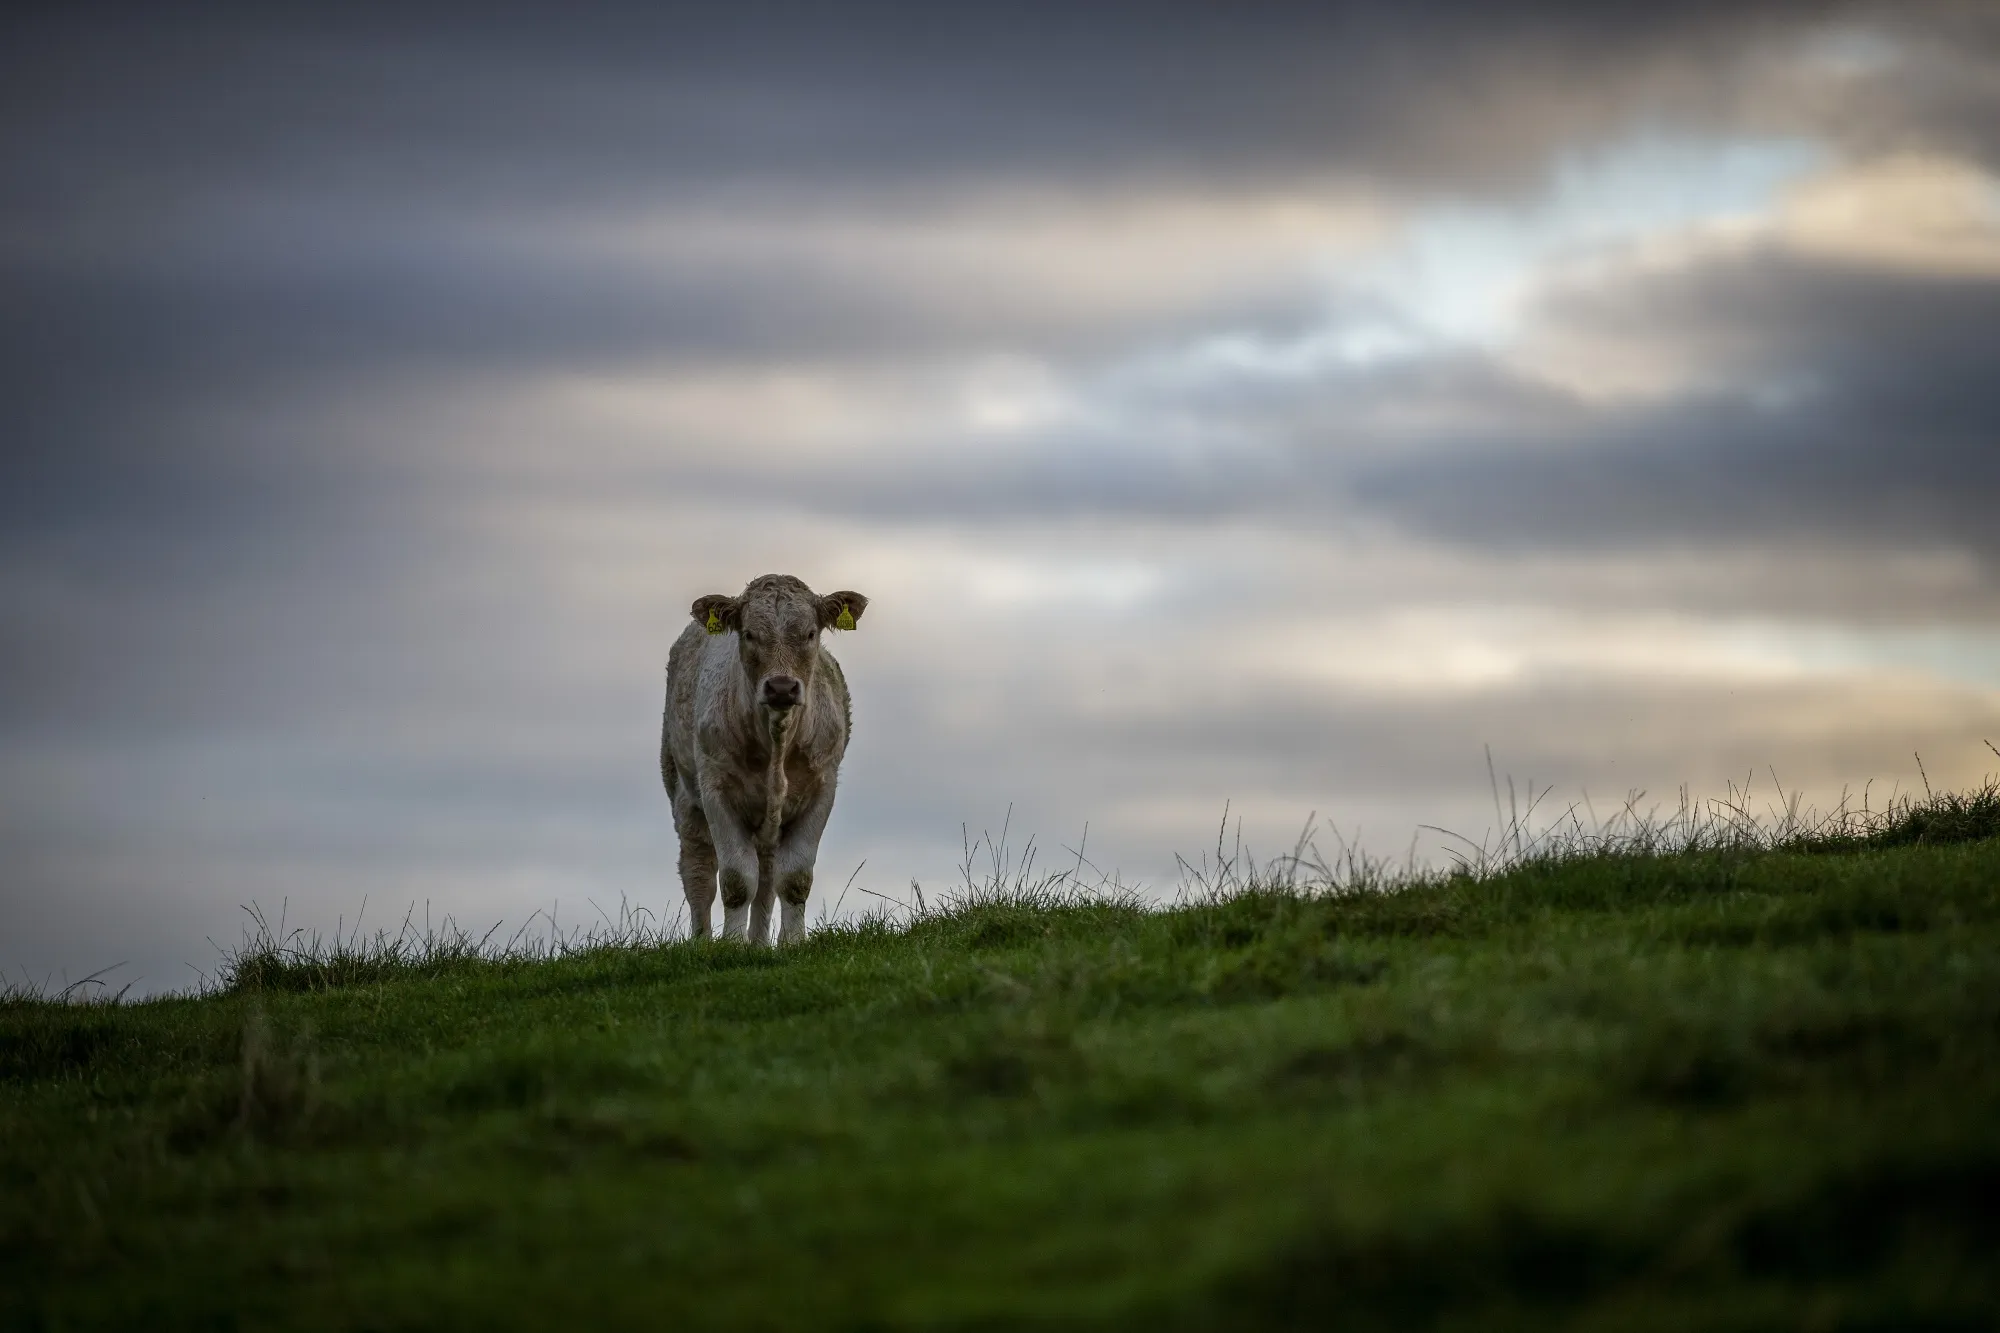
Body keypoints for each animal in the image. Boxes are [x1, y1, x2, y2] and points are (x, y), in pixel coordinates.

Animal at [660, 575, 868, 945]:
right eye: (749, 634)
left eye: (810, 633)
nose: (782, 687)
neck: (776, 741)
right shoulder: (716, 793)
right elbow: (736, 880)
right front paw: (731, 945)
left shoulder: (821, 792)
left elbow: (794, 878)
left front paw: (792, 943)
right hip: (683, 794)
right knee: (698, 872)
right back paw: (702, 942)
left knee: (768, 877)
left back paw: (759, 944)